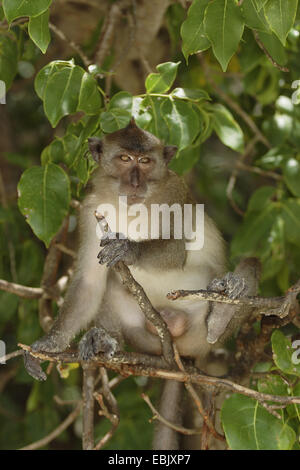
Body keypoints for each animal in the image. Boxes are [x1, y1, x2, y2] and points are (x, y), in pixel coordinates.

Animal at [25, 119, 260, 450]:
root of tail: (181, 351)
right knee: (111, 283)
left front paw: (128, 249)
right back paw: (105, 341)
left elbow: (175, 250)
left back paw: (223, 309)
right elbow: (90, 282)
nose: (135, 182)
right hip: (144, 337)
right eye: (125, 159)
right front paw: (46, 346)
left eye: (146, 161)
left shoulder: (175, 191)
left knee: (249, 265)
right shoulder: (89, 210)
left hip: (202, 336)